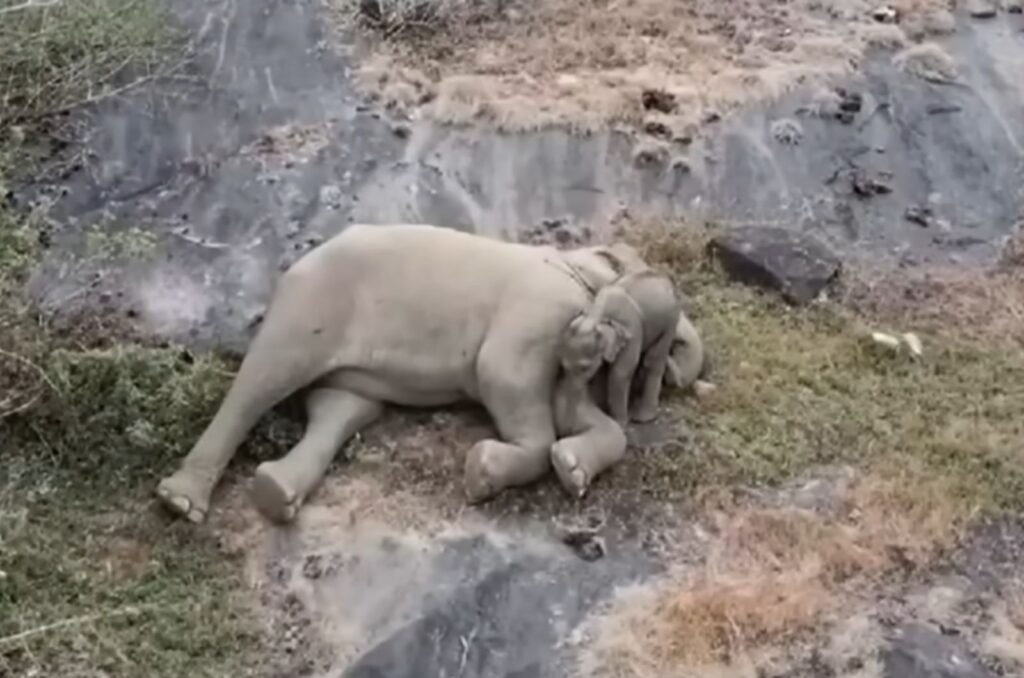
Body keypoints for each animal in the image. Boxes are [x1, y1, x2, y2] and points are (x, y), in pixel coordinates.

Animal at [157, 224, 704, 524]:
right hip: (313, 304)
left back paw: (274, 492)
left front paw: (572, 468)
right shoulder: (538, 309)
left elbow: (576, 414)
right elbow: (502, 374)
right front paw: (481, 473)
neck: (575, 260)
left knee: (340, 408)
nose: (681, 368)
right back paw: (181, 503)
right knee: (265, 379)